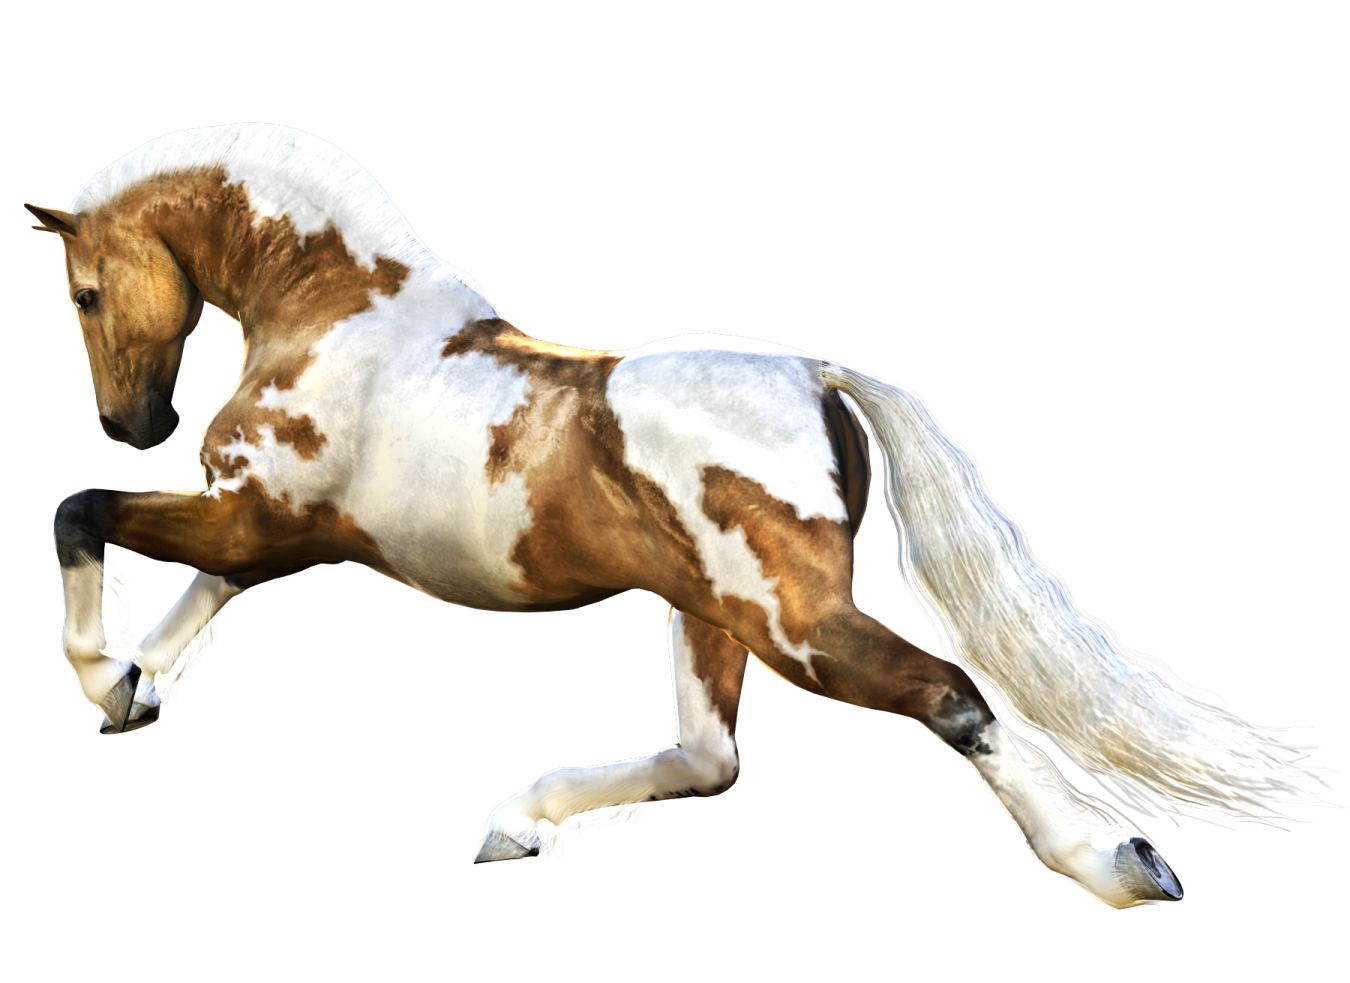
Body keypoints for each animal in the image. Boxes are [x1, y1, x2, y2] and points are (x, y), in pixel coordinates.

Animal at [28, 123, 1344, 908]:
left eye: (85, 292)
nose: (134, 422)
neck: (340, 315)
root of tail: (821, 374)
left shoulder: (264, 519)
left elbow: (83, 511)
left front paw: (103, 670)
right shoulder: (269, 526)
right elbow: (201, 586)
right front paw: (141, 683)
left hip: (791, 622)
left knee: (948, 698)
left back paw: (1115, 863)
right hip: (709, 611)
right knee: (713, 759)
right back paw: (518, 823)